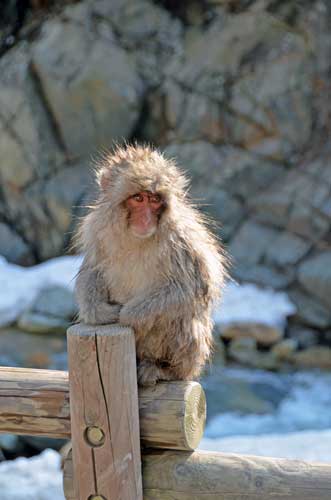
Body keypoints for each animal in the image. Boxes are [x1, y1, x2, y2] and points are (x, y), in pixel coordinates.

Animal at [75, 145, 227, 386]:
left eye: (154, 199)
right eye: (138, 198)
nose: (146, 219)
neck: (136, 237)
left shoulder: (182, 238)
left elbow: (195, 287)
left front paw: (130, 314)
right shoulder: (97, 232)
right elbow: (92, 269)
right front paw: (98, 312)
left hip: (190, 360)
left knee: (181, 315)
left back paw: (163, 369)